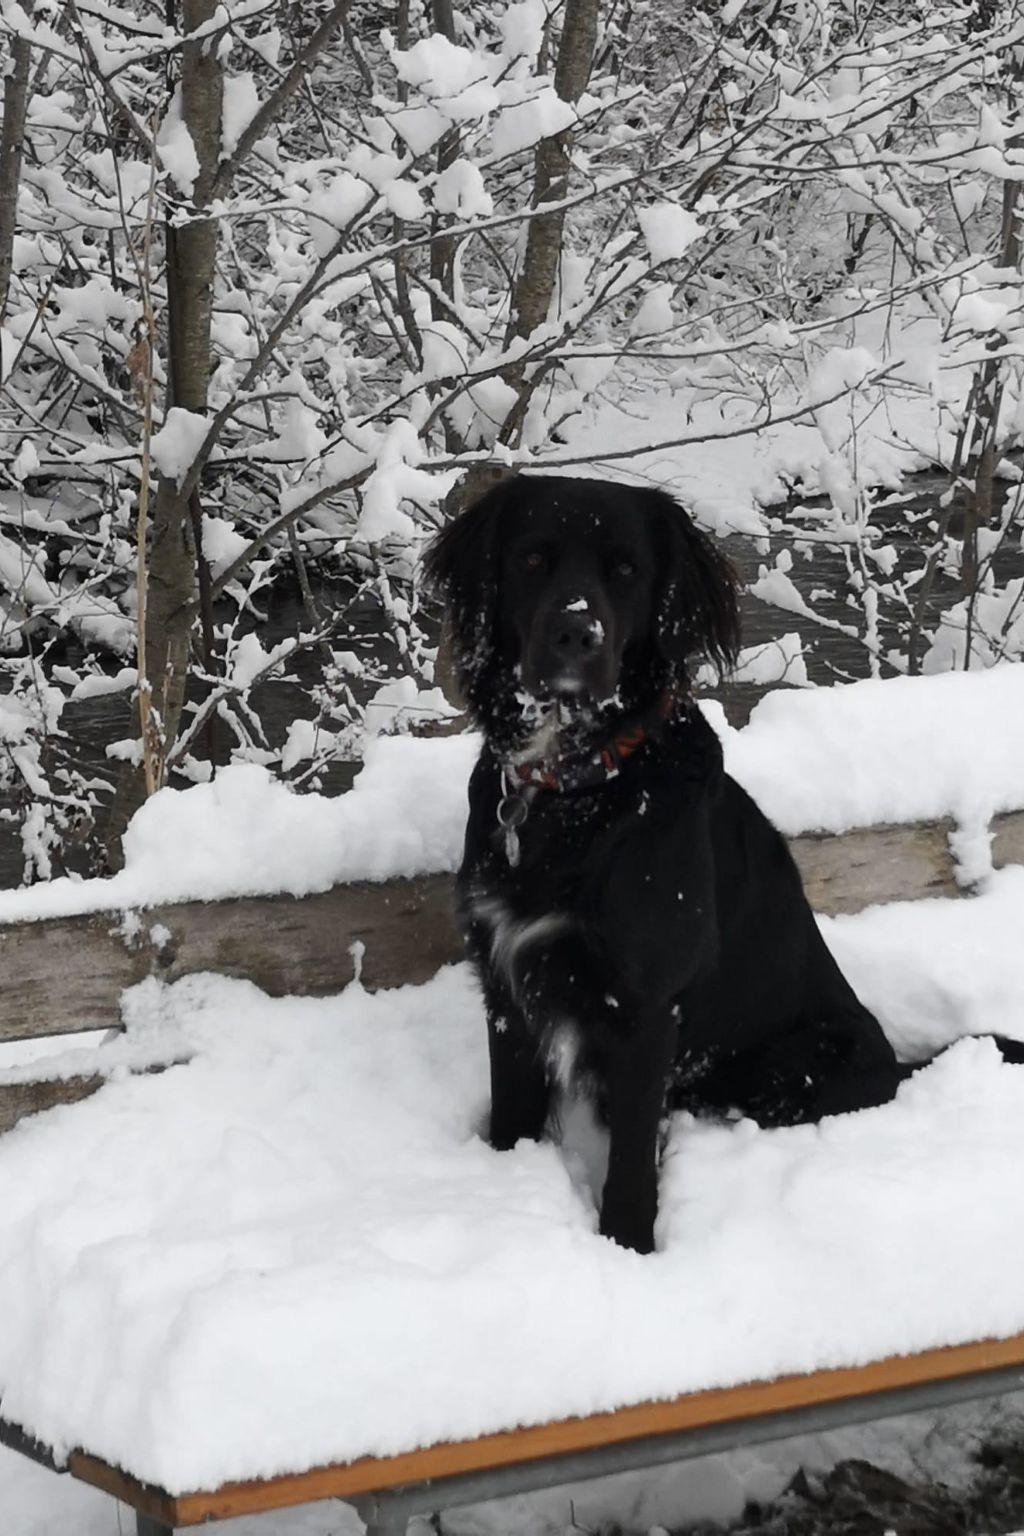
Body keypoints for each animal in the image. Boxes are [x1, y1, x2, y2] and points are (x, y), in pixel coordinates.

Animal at [423, 473, 1019, 1253]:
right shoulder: (505, 976)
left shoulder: (646, 1006)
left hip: (797, 1061)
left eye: (626, 570)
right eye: (530, 559)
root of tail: (896, 1064)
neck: (579, 790)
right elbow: (513, 1112)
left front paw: (628, 1249)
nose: (576, 635)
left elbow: (630, 1162)